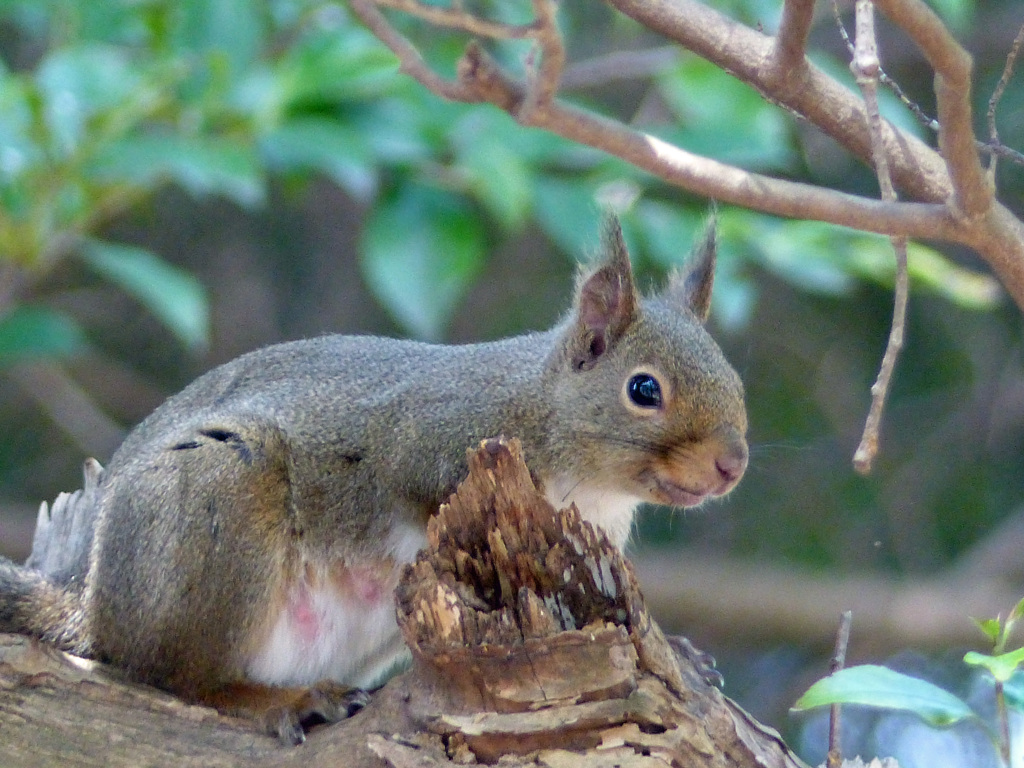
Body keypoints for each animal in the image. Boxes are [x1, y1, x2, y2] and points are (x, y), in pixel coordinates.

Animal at [0, 215, 749, 745]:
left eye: (736, 381)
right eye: (644, 390)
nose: (732, 464)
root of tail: (93, 601)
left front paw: (680, 652)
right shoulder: (425, 440)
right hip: (216, 500)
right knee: (174, 673)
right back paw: (279, 700)